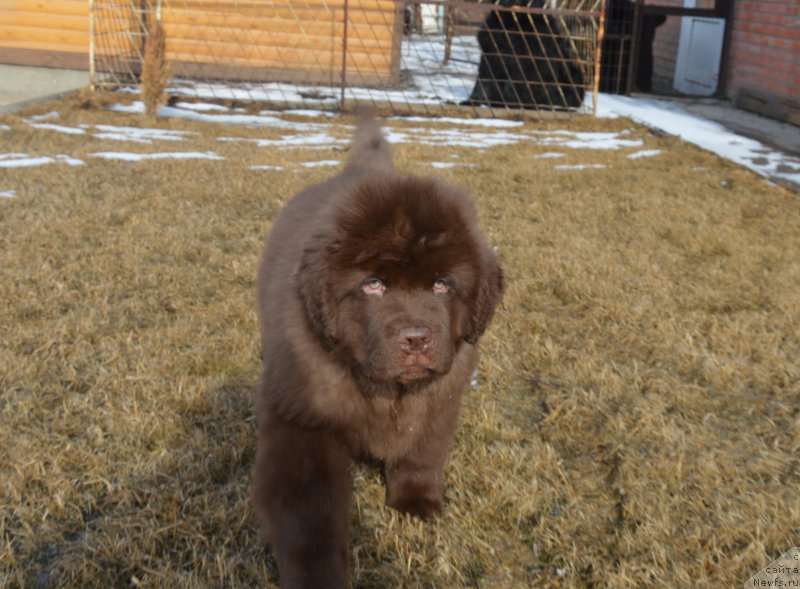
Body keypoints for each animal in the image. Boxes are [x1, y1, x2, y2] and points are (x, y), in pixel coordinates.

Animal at [255, 112, 506, 584]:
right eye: (373, 284)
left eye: (442, 284)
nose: (416, 338)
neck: (382, 390)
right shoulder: (302, 425)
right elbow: (310, 516)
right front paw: (319, 577)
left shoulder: (438, 402)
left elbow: (420, 452)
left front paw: (415, 504)